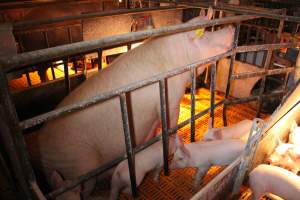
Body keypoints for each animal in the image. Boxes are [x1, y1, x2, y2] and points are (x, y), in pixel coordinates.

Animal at [25, 6, 234, 197]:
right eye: (205, 32)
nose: (231, 26)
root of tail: (41, 149)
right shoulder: (170, 96)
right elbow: (171, 125)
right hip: (77, 164)